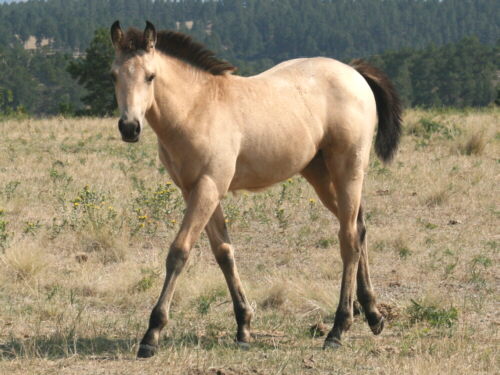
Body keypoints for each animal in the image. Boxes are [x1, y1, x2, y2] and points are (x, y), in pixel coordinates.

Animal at [110, 19, 402, 358]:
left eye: (150, 76)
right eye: (113, 75)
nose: (130, 127)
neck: (197, 107)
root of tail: (353, 72)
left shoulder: (209, 186)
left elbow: (179, 252)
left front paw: (151, 334)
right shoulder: (196, 189)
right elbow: (224, 252)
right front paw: (244, 326)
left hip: (348, 171)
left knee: (350, 239)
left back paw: (338, 329)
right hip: (320, 176)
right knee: (359, 226)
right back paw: (373, 315)